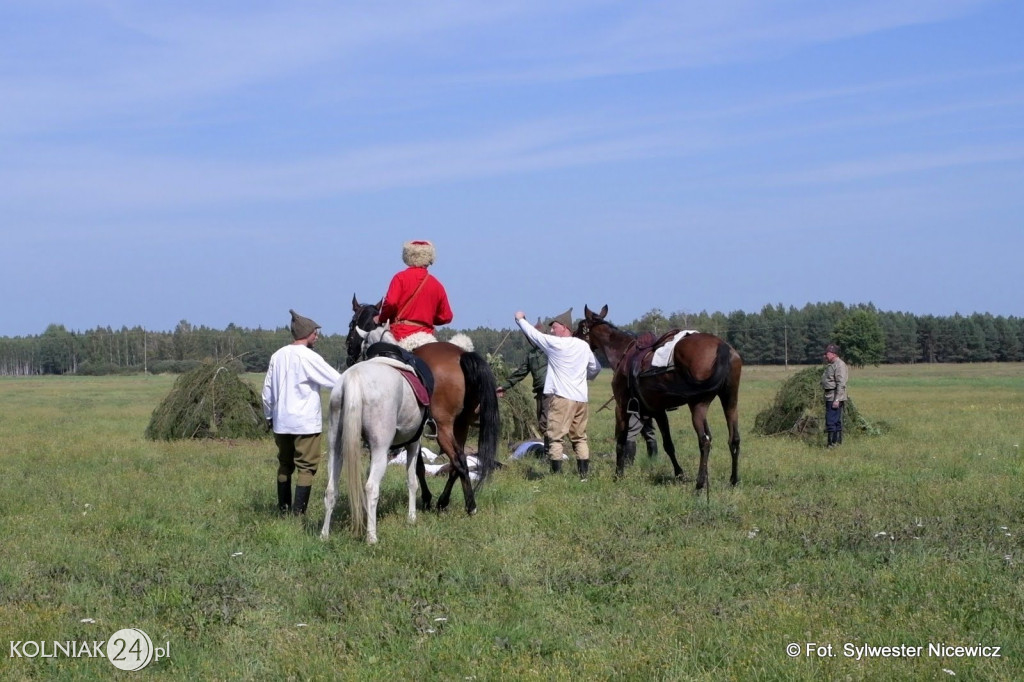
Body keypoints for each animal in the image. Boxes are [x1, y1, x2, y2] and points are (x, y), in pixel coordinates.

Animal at [321, 356, 430, 540]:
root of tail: (353, 376)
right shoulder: (414, 445)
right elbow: (412, 481)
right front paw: (411, 518)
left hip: (335, 448)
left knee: (331, 490)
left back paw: (324, 535)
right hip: (381, 450)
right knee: (371, 487)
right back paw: (371, 537)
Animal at [348, 294, 499, 512]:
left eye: (351, 324)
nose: (349, 355)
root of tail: (462, 355)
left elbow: (417, 466)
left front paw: (426, 498)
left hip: (443, 428)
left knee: (459, 460)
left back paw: (469, 506)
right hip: (461, 425)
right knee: (457, 463)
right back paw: (444, 502)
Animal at [573, 303, 741, 489]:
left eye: (581, 326)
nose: (572, 336)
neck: (623, 353)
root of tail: (722, 345)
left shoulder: (623, 408)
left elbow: (621, 442)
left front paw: (618, 474)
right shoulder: (658, 411)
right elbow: (668, 444)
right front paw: (679, 474)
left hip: (698, 405)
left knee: (704, 441)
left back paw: (699, 484)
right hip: (730, 400)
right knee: (734, 438)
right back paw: (733, 480)